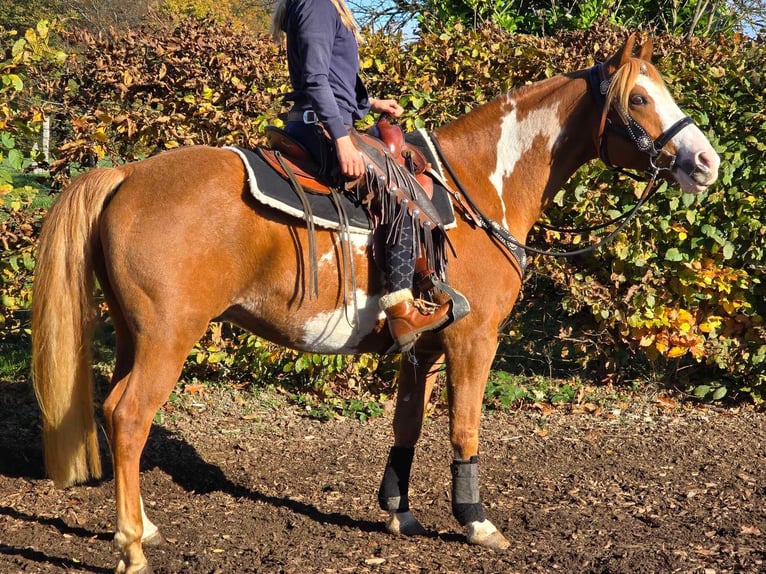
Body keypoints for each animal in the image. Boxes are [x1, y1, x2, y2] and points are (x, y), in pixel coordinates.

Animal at [33, 36, 724, 574]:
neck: (479, 188)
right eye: (639, 99)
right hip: (168, 337)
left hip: (134, 335)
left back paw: (142, 526)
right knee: (128, 416)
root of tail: (125, 174)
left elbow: (407, 425)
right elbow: (465, 426)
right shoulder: (473, 340)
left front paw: (399, 512)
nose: (707, 162)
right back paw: (131, 546)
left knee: (115, 409)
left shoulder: (422, 345)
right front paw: (474, 521)